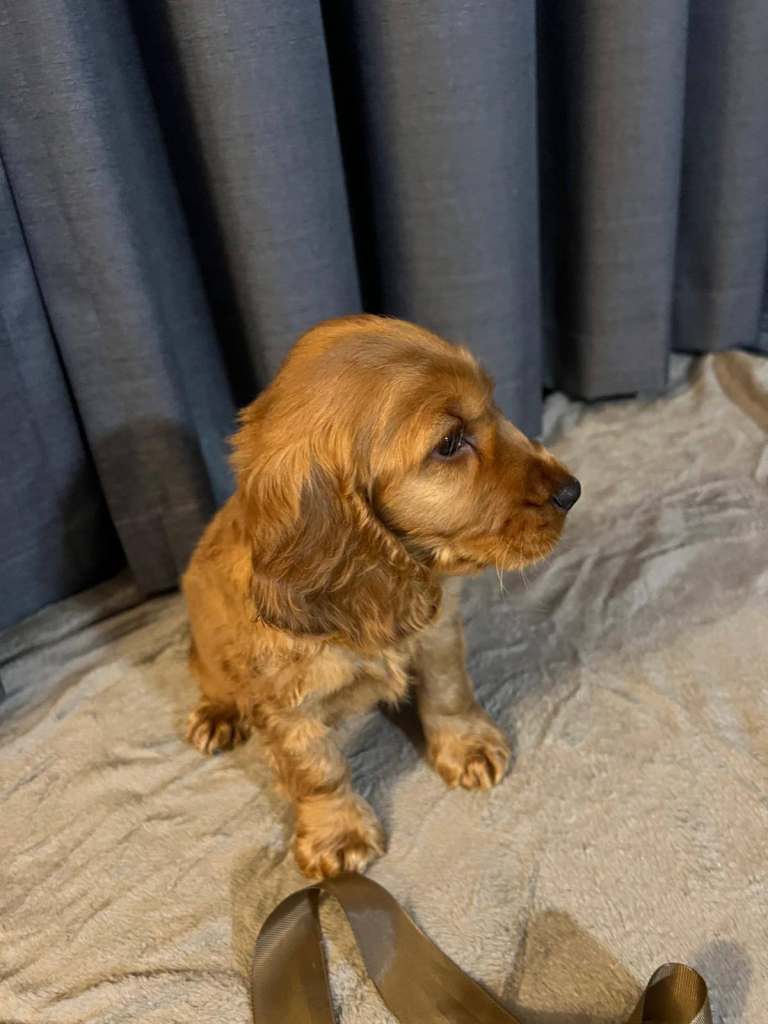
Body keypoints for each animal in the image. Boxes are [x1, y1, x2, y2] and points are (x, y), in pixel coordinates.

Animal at [182, 315, 580, 878]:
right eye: (450, 442)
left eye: (493, 405)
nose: (572, 491)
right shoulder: (288, 705)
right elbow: (318, 771)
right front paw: (338, 833)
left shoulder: (438, 631)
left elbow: (449, 691)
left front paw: (468, 745)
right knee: (207, 673)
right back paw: (217, 715)